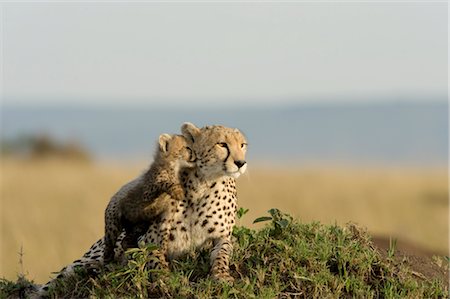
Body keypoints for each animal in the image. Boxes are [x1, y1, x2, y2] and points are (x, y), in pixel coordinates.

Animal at [103, 135, 195, 264]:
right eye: (187, 147)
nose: (194, 153)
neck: (174, 167)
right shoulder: (147, 193)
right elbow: (163, 183)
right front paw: (177, 190)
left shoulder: (167, 212)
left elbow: (164, 231)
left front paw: (162, 249)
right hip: (113, 223)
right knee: (109, 245)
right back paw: (109, 261)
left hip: (139, 225)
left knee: (125, 241)